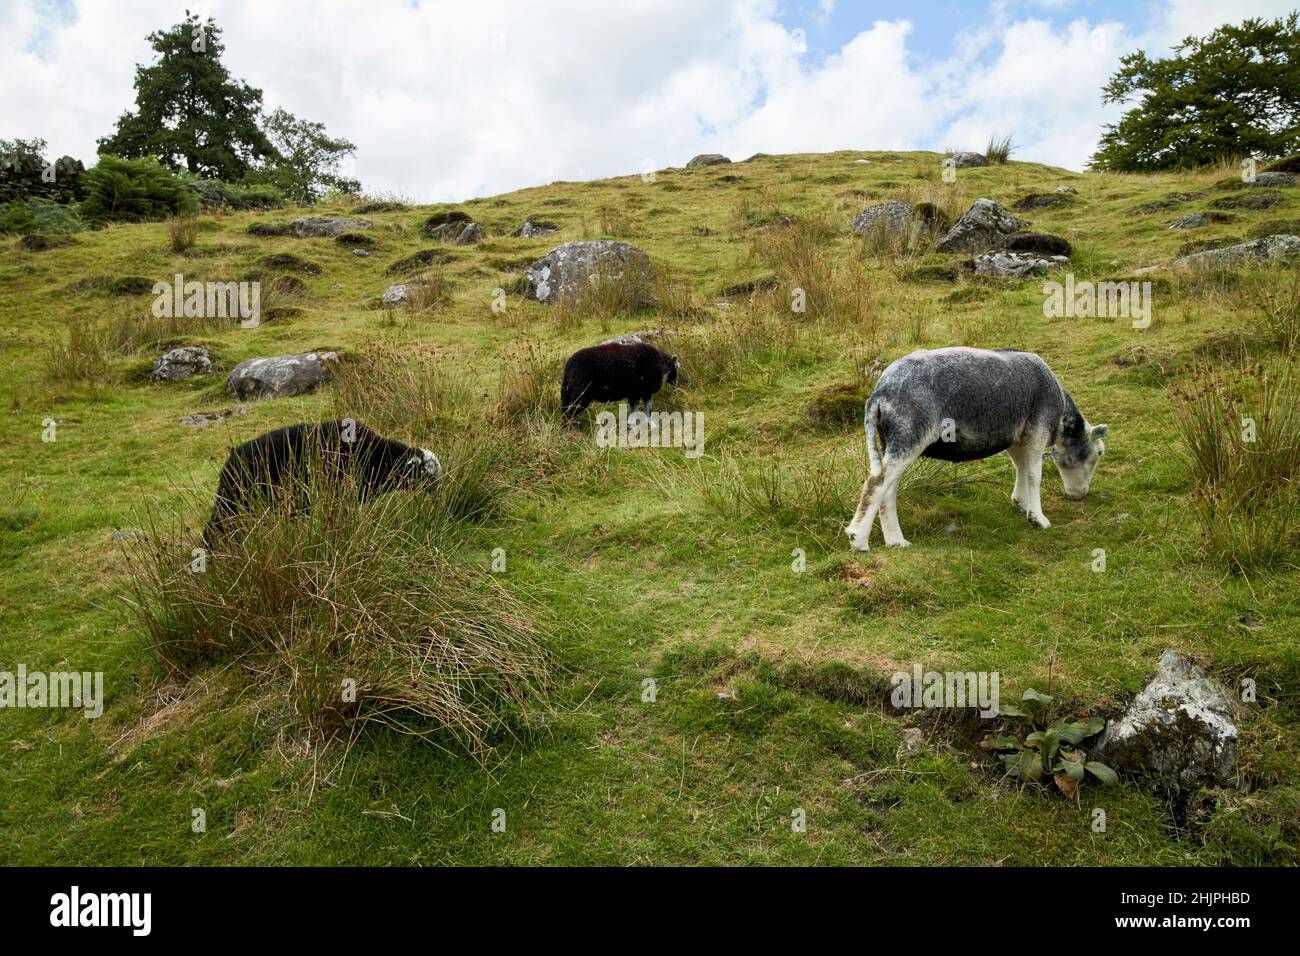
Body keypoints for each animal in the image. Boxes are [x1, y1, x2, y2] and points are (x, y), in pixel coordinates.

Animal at [847, 348, 1112, 548]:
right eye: (1099, 453)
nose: (1079, 496)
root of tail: (879, 394)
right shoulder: (1038, 430)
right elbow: (1034, 474)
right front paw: (1038, 519)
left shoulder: (1016, 436)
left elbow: (1021, 467)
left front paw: (1021, 502)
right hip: (908, 434)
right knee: (876, 484)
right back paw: (858, 539)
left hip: (894, 439)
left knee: (887, 490)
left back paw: (895, 541)